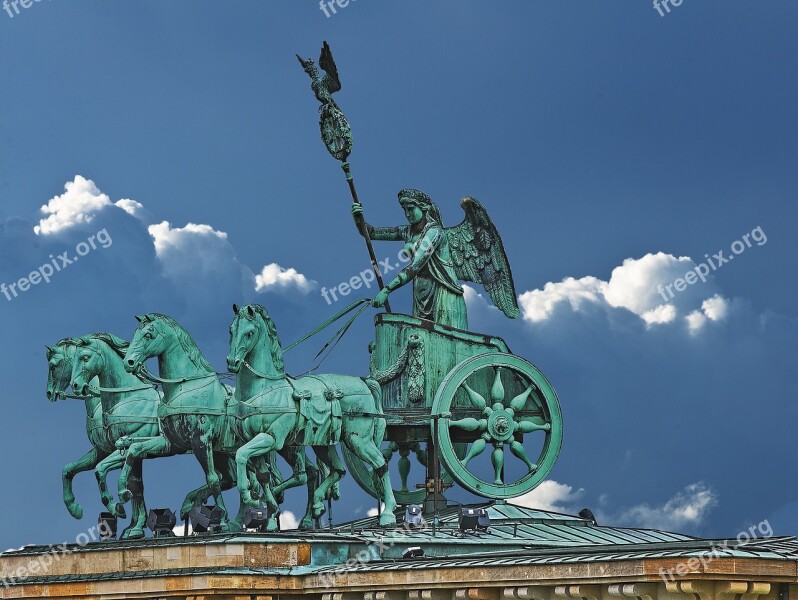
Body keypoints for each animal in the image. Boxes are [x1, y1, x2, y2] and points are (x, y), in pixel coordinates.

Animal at [225, 304, 400, 528]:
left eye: (249, 333)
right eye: (231, 330)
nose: (232, 362)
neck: (262, 389)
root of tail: (364, 381)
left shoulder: (271, 439)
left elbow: (241, 455)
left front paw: (248, 495)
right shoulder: (254, 442)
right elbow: (262, 476)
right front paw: (271, 516)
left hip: (358, 440)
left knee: (380, 464)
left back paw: (388, 513)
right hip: (323, 444)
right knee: (337, 470)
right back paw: (317, 503)